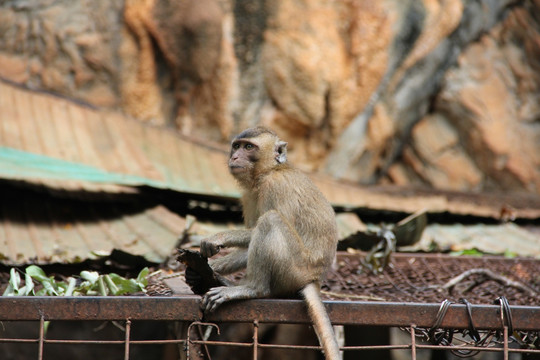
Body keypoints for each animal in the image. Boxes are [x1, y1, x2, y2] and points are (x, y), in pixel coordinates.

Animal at [192, 127, 340, 360]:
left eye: (248, 147)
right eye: (236, 146)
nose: (234, 157)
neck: (269, 171)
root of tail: (314, 278)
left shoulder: (275, 186)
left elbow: (263, 226)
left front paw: (218, 238)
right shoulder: (249, 195)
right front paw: (209, 266)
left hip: (295, 270)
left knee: (271, 220)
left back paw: (252, 289)